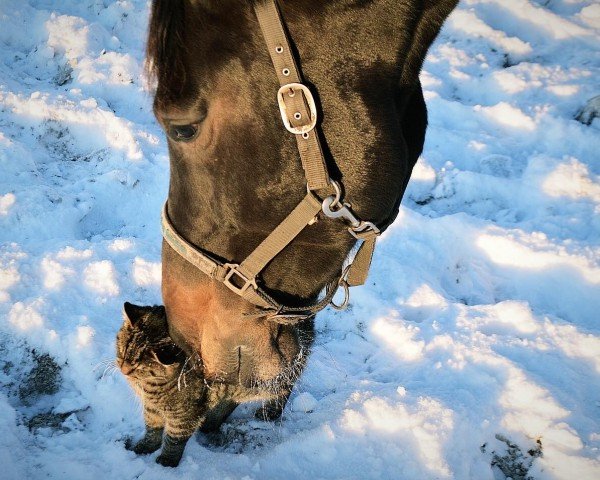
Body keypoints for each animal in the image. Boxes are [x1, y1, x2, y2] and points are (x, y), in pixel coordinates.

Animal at [116, 302, 207, 466]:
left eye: (140, 365)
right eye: (123, 351)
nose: (123, 370)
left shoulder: (185, 415)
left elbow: (174, 440)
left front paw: (167, 462)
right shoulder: (151, 408)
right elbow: (152, 429)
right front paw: (145, 446)